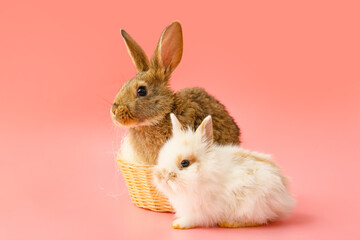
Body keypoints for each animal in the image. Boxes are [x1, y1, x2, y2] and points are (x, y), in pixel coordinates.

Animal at [153, 113, 296, 230]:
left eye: (185, 163)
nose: (163, 176)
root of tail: (285, 193)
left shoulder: (200, 209)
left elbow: (193, 219)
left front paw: (178, 224)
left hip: (252, 205)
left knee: (259, 220)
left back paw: (228, 223)